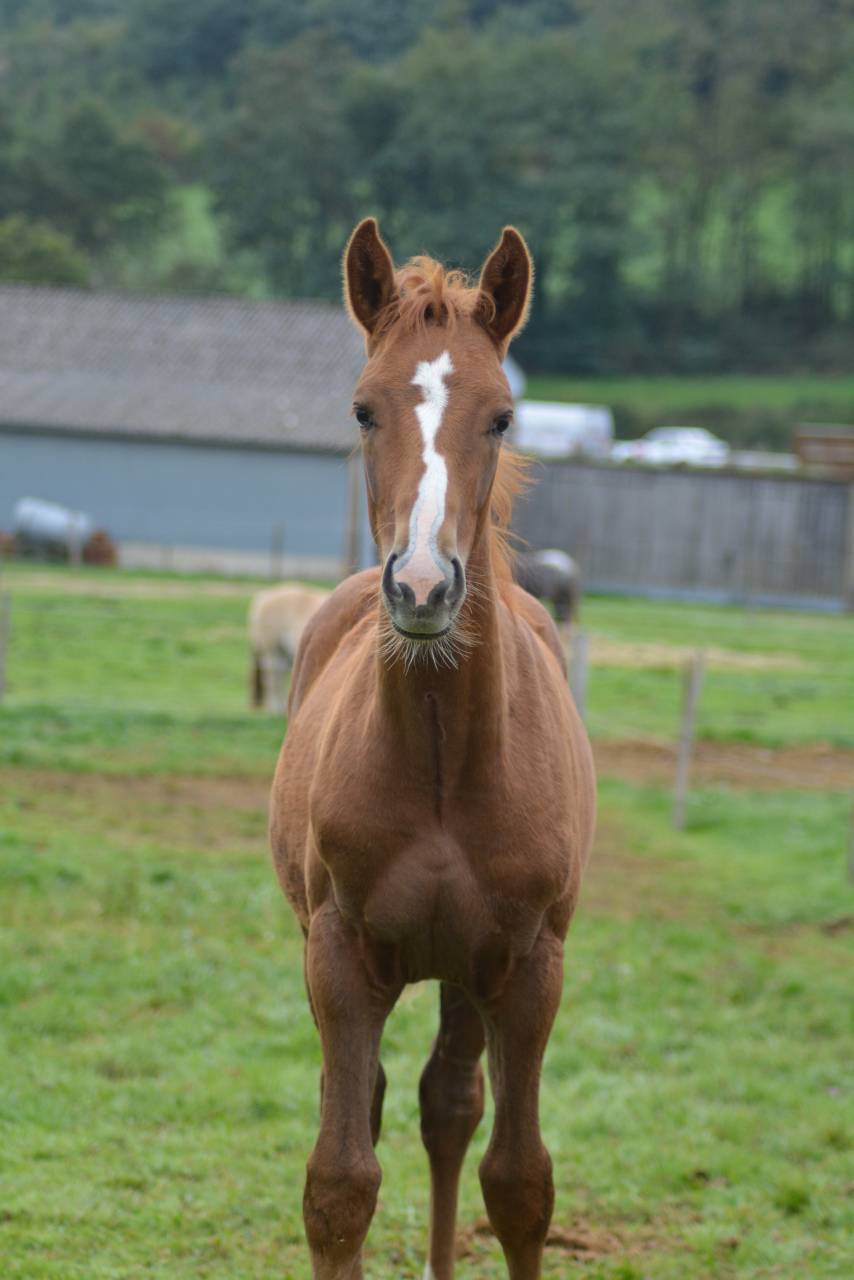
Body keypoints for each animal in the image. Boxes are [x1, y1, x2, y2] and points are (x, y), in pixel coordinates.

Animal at [248, 582, 331, 712]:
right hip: (272, 649)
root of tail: (264, 597)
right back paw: (275, 707)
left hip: (284, 653)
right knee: (272, 675)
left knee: (280, 674)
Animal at [269, 219, 596, 1280]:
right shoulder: (338, 958)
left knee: (448, 1107)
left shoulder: (531, 969)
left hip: (466, 969)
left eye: (501, 416)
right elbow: (339, 1185)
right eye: (363, 408)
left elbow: (521, 1184)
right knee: (385, 1105)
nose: (421, 587)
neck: (448, 766)